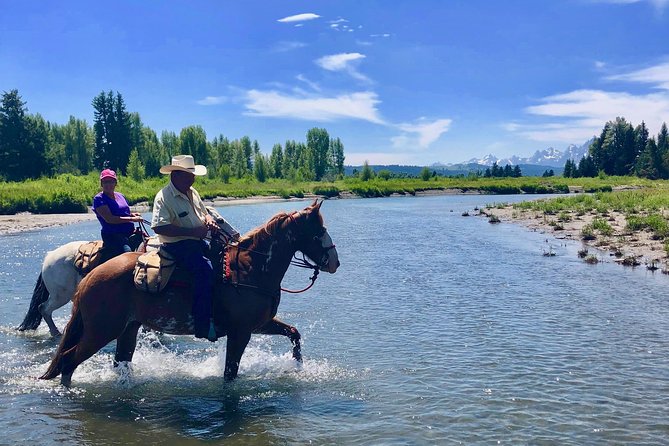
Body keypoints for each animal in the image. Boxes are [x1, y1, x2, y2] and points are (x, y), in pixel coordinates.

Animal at [16, 207, 240, 336]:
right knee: (44, 309)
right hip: (60, 294)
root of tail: (49, 256)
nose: (237, 235)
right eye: (220, 221)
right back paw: (56, 334)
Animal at [40, 200, 340, 386]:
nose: (334, 262)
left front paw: (298, 367)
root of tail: (90, 277)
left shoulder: (260, 324)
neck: (249, 269)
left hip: (127, 329)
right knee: (68, 359)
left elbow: (294, 334)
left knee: (118, 363)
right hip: (101, 331)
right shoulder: (241, 331)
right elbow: (230, 373)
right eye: (319, 231)